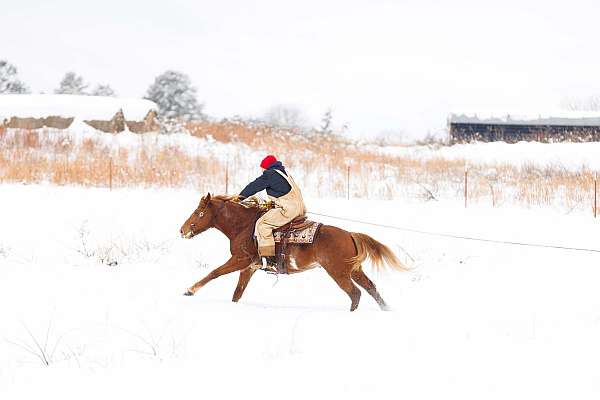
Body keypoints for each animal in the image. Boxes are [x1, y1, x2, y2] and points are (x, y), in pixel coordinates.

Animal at [179, 192, 408, 310]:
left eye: (199, 213)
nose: (182, 230)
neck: (244, 226)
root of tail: (350, 234)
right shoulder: (249, 267)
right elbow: (238, 292)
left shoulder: (240, 260)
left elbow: (214, 272)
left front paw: (190, 290)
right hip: (354, 270)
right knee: (371, 288)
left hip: (338, 272)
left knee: (355, 293)